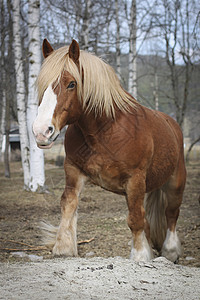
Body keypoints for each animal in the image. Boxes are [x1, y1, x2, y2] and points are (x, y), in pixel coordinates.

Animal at [32, 38, 187, 262]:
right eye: (42, 85)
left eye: (71, 84)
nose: (41, 131)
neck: (104, 131)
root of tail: (171, 124)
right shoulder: (74, 170)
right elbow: (68, 204)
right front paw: (64, 247)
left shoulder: (135, 180)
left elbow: (135, 219)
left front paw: (139, 255)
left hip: (174, 183)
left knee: (171, 214)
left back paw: (170, 251)